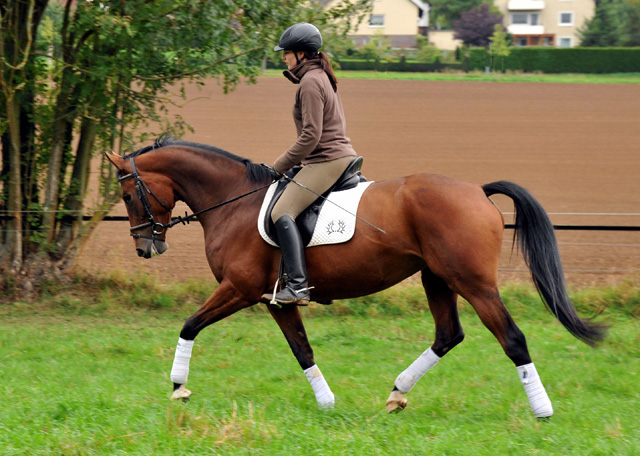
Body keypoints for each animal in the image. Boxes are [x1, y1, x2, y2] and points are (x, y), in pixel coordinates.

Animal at [107, 137, 608, 418]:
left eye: (128, 194)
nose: (145, 247)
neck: (234, 201)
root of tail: (477, 191)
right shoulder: (275, 300)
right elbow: (302, 350)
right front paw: (327, 404)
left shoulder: (240, 290)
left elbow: (189, 324)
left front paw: (178, 386)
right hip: (437, 279)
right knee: (448, 334)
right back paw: (398, 394)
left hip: (474, 284)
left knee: (512, 338)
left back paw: (542, 410)